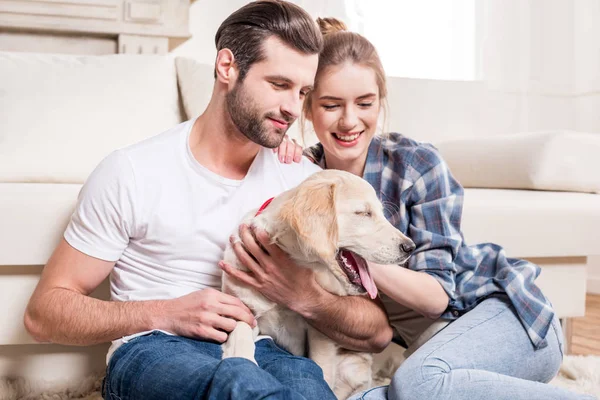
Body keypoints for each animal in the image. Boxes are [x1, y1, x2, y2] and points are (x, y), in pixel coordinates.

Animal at [223, 170, 414, 400]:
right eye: (363, 213)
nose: (410, 247)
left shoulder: (320, 333)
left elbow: (322, 369)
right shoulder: (243, 309)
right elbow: (240, 336)